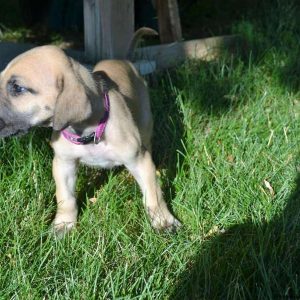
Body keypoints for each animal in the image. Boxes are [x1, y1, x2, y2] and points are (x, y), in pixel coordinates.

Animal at [0, 45, 180, 237]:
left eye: (18, 88)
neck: (88, 132)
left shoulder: (139, 161)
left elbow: (153, 195)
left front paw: (164, 222)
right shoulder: (64, 164)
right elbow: (65, 197)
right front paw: (63, 224)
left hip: (145, 122)